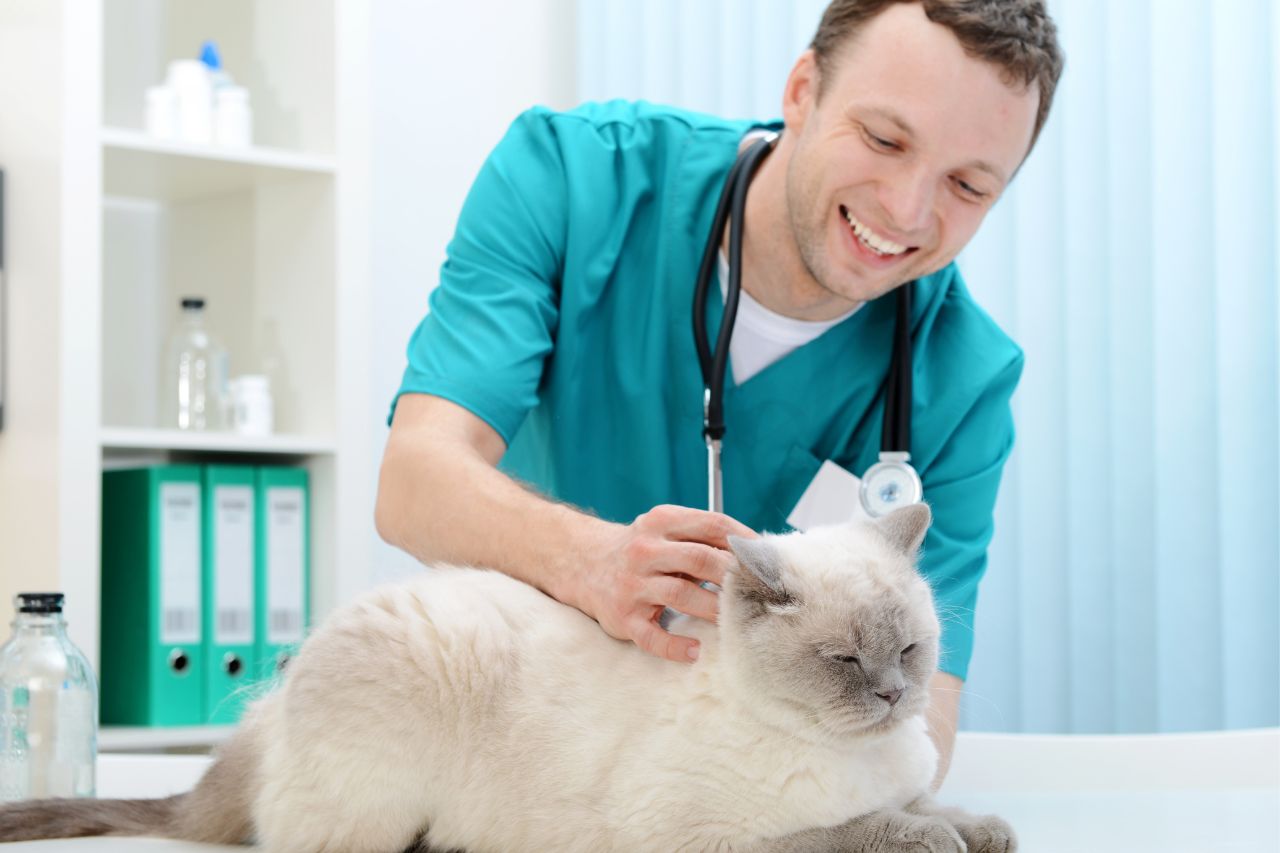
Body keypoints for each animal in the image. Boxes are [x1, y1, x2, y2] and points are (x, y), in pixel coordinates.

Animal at [0, 502, 1018, 845]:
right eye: (844, 659)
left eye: (910, 651)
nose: (892, 696)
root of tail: (271, 711)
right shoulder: (702, 838)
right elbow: (858, 830)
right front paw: (933, 838)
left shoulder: (905, 771)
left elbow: (937, 805)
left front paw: (983, 827)